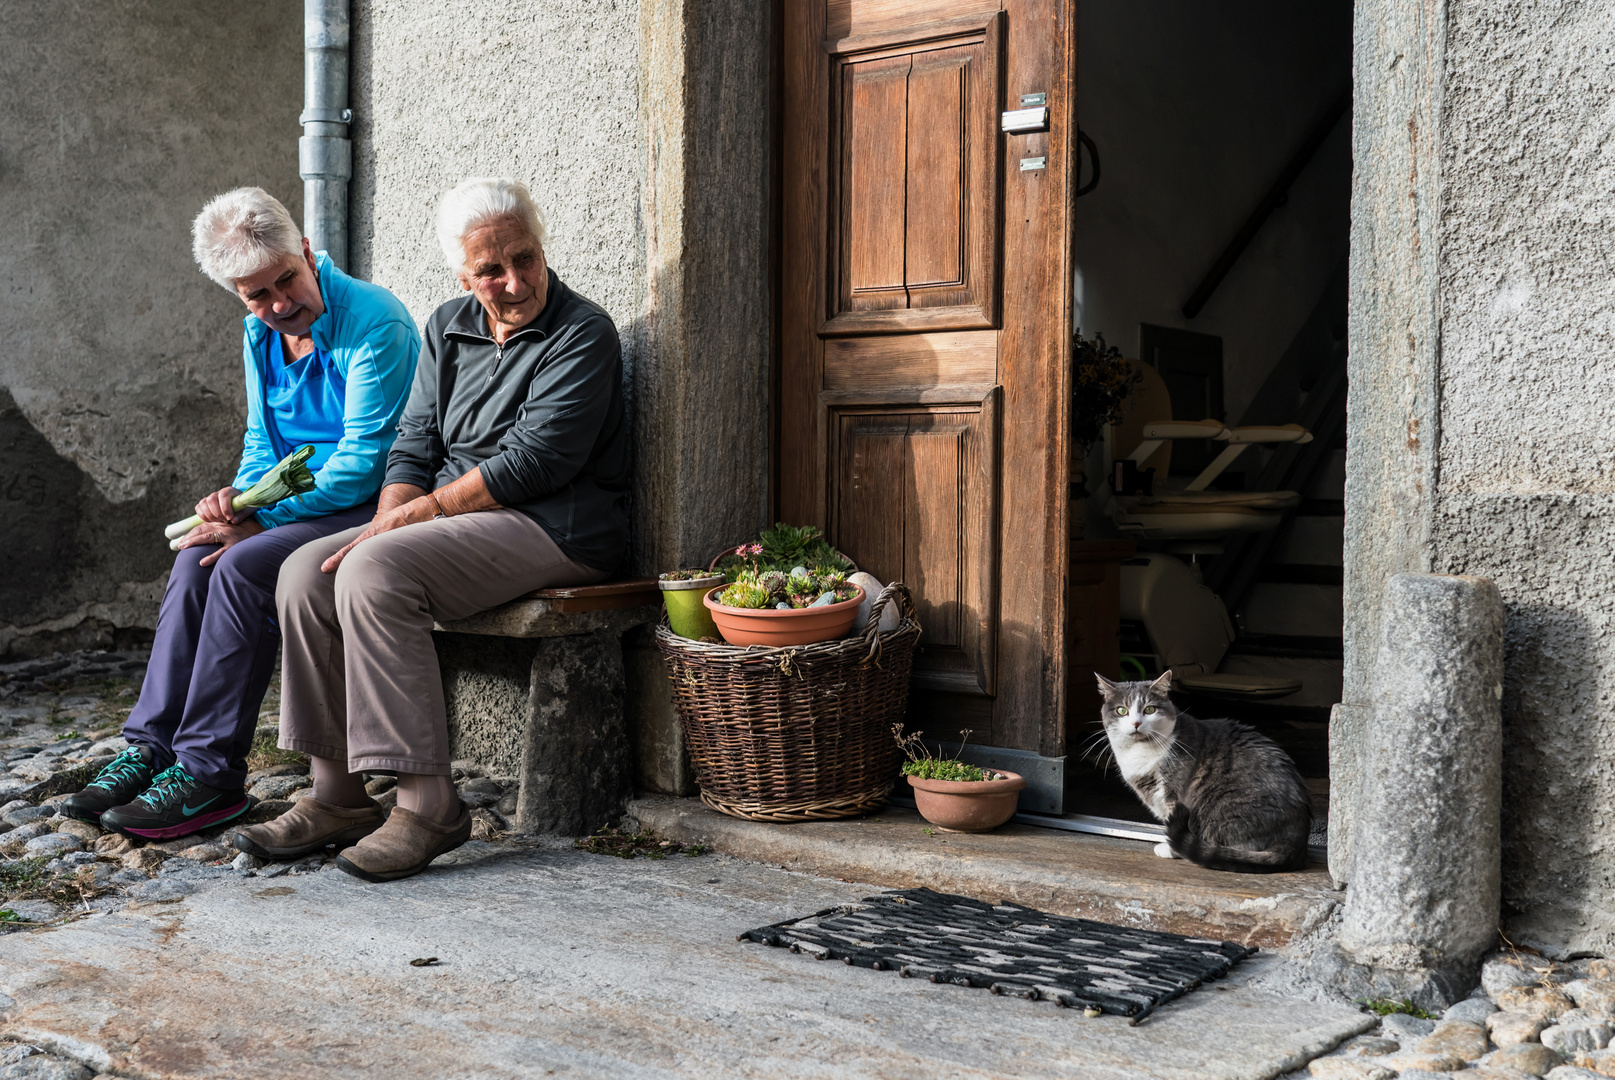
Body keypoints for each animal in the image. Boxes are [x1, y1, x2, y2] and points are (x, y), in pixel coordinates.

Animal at [1098, 668, 1311, 871]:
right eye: (1122, 710)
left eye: (1149, 709)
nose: (1136, 723)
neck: (1139, 752)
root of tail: (1297, 840)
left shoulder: (1174, 796)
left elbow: (1172, 821)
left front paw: (1170, 849)